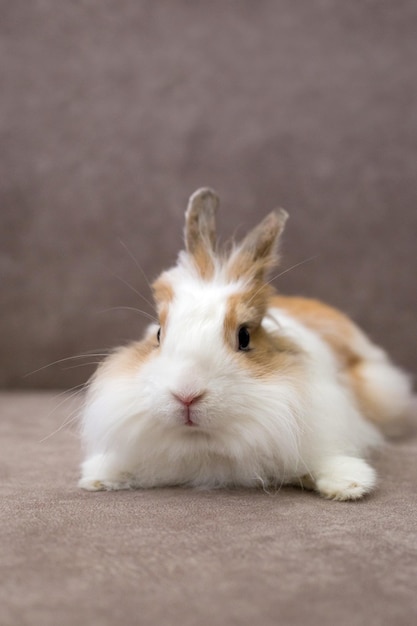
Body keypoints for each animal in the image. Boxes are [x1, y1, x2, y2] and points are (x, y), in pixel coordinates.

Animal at [79, 188, 412, 500]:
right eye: (159, 333)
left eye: (244, 337)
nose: (186, 395)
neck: (205, 444)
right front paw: (99, 476)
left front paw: (350, 483)